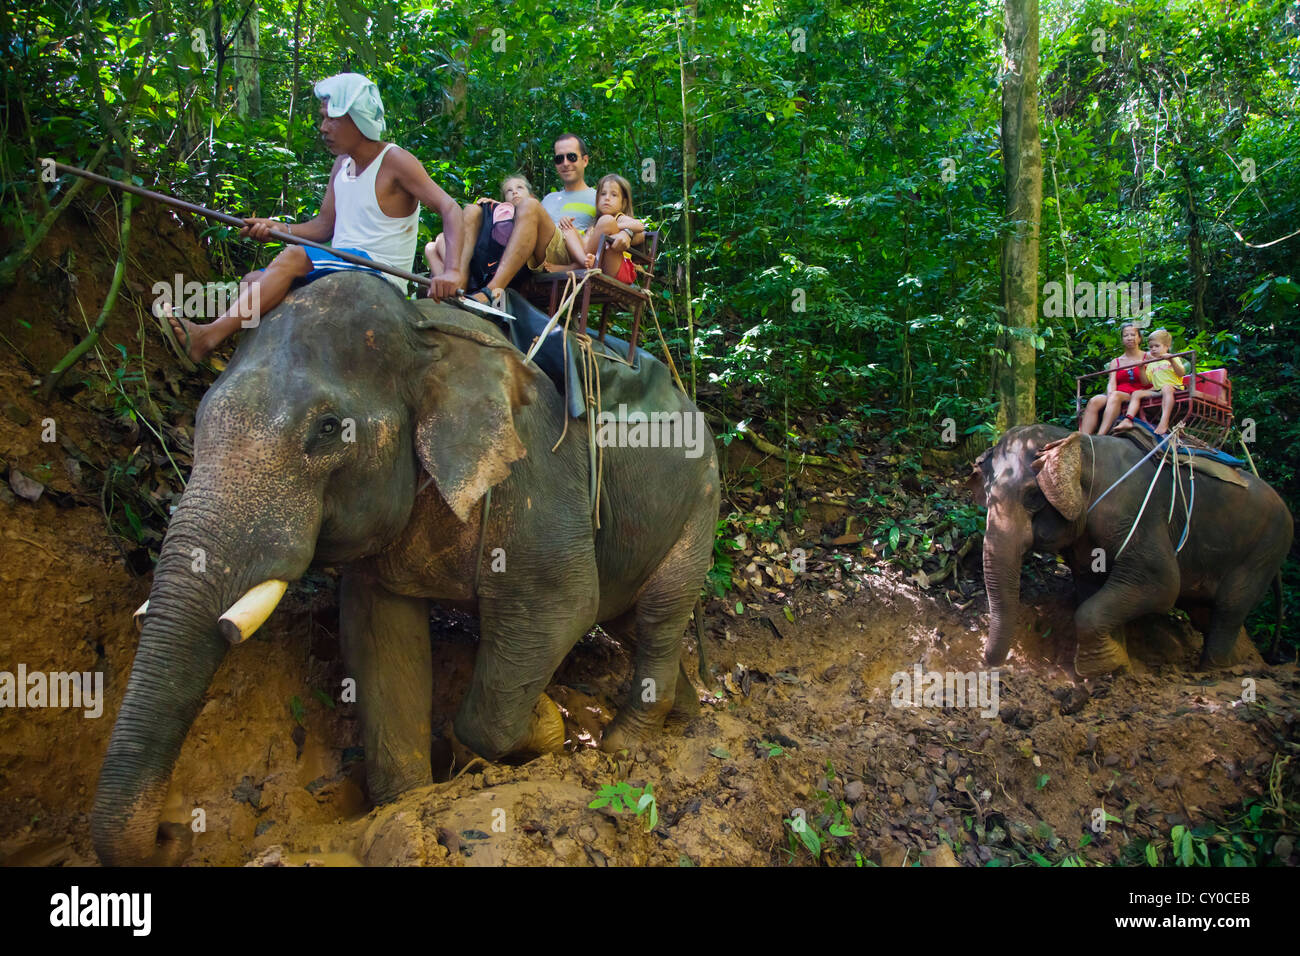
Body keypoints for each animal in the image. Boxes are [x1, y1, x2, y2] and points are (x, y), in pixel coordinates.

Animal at [91, 270, 722, 868]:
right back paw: (686, 716)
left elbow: (562, 607)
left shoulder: (540, 473)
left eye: (327, 429)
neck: (425, 333)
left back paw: (622, 744)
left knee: (659, 613)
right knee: (629, 620)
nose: (173, 833)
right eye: (200, 417)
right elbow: (378, 637)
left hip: (703, 499)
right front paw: (406, 801)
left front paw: (542, 726)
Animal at [977, 421, 1289, 676]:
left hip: (1266, 549)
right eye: (987, 494)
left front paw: (1098, 668)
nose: (991, 665)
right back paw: (1241, 663)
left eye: (1032, 495)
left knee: (1230, 605)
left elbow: (1161, 583)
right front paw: (1116, 664)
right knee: (1205, 611)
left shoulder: (1134, 512)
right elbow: (1091, 583)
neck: (1079, 443)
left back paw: (1215, 671)